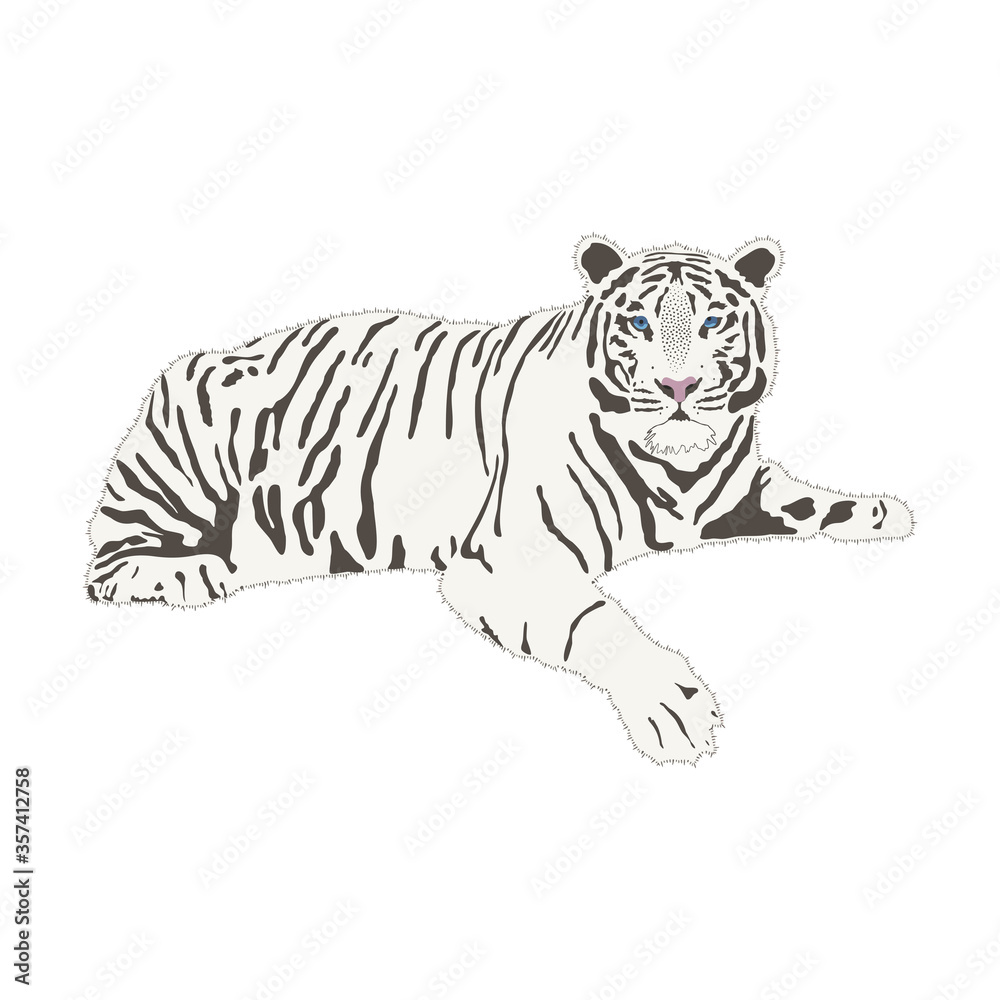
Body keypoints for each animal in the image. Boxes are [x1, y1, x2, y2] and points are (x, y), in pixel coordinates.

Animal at [86, 235, 913, 764]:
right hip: (176, 471)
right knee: (109, 562)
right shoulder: (507, 559)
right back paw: (193, 571)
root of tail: (185, 360)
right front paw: (670, 705)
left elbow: (803, 497)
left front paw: (881, 509)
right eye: (639, 323)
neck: (678, 472)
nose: (677, 387)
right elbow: (595, 618)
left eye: (712, 322)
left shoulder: (731, 488)